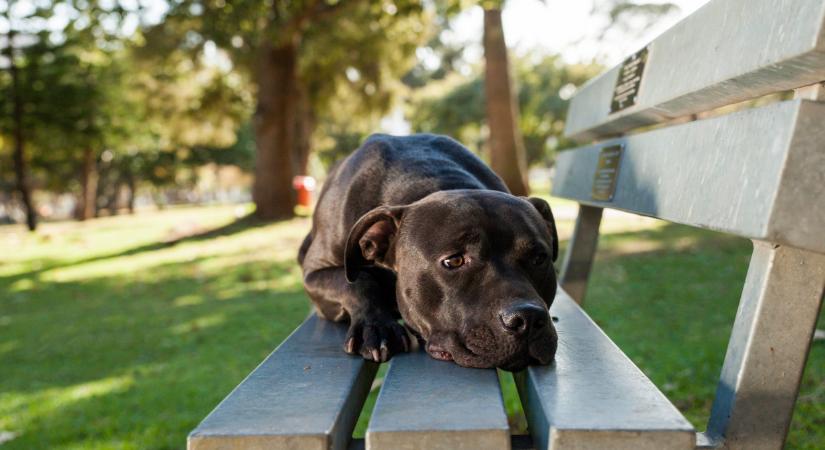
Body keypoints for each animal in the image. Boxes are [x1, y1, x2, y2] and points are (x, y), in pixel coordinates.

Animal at [296, 133, 560, 370]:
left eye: (539, 258)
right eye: (454, 261)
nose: (527, 318)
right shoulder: (314, 274)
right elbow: (355, 282)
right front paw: (376, 327)